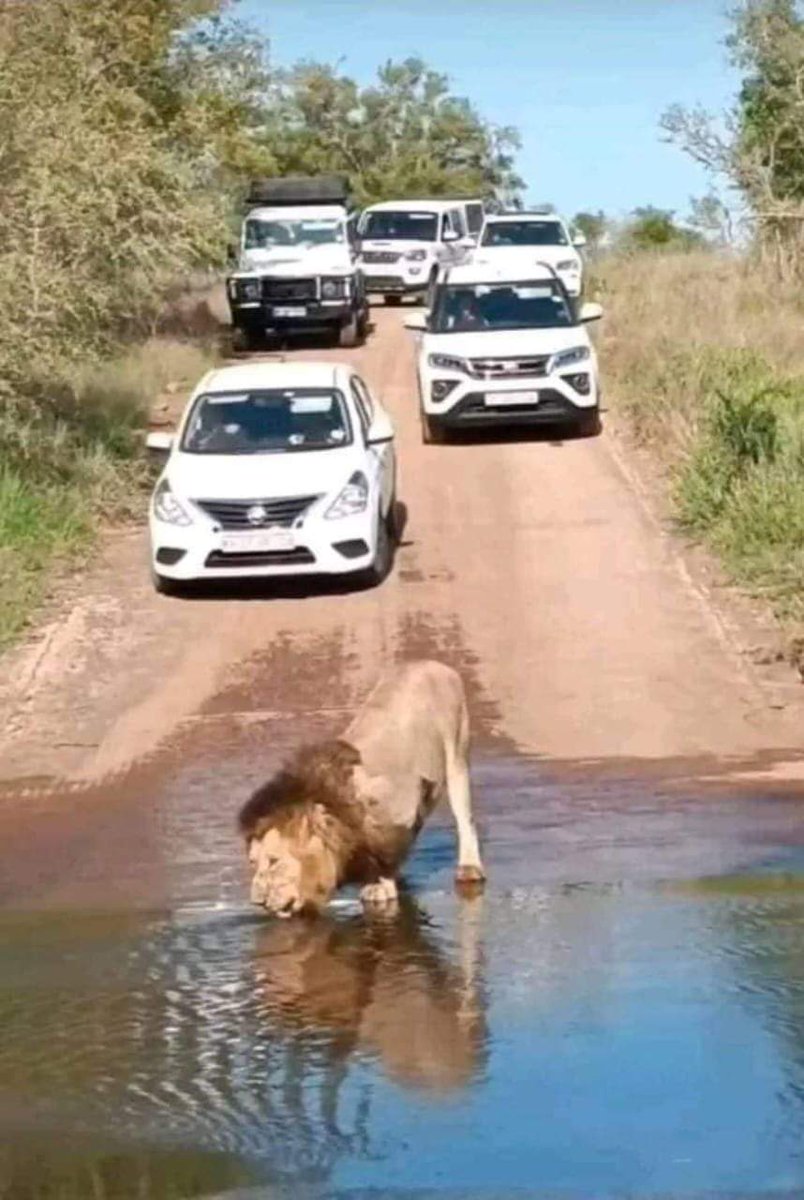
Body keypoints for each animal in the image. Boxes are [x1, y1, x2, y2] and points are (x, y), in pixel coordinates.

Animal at [237, 662, 484, 912]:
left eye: (274, 862)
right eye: (253, 863)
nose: (257, 902)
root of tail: (431, 663)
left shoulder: (405, 804)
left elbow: (388, 851)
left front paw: (379, 885)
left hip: (457, 754)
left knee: (465, 819)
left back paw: (469, 869)